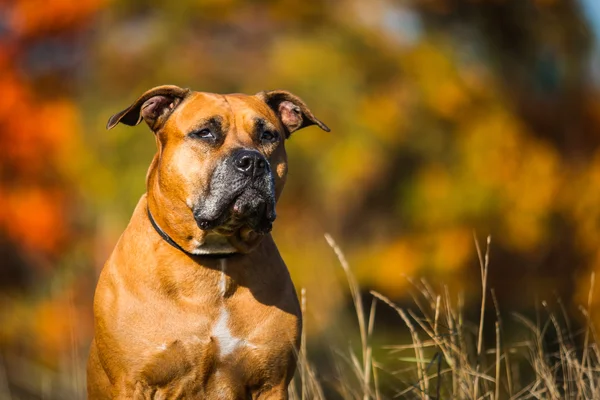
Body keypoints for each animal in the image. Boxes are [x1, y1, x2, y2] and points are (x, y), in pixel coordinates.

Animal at [86, 86, 328, 398]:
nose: (252, 162)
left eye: (268, 135)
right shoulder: (132, 383)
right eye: (205, 133)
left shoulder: (271, 383)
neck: (214, 257)